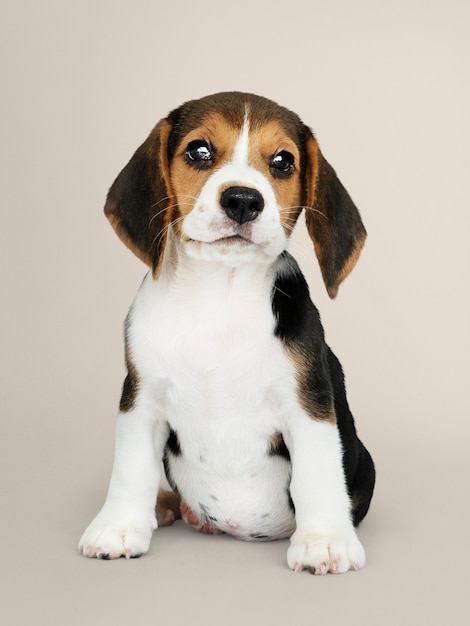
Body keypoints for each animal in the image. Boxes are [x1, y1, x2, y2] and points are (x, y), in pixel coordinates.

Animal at [79, 90, 376, 572]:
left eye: (283, 162)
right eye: (199, 151)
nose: (242, 200)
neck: (220, 293)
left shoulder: (308, 404)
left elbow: (317, 473)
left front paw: (325, 541)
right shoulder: (140, 399)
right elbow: (131, 470)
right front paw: (118, 528)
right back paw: (168, 506)